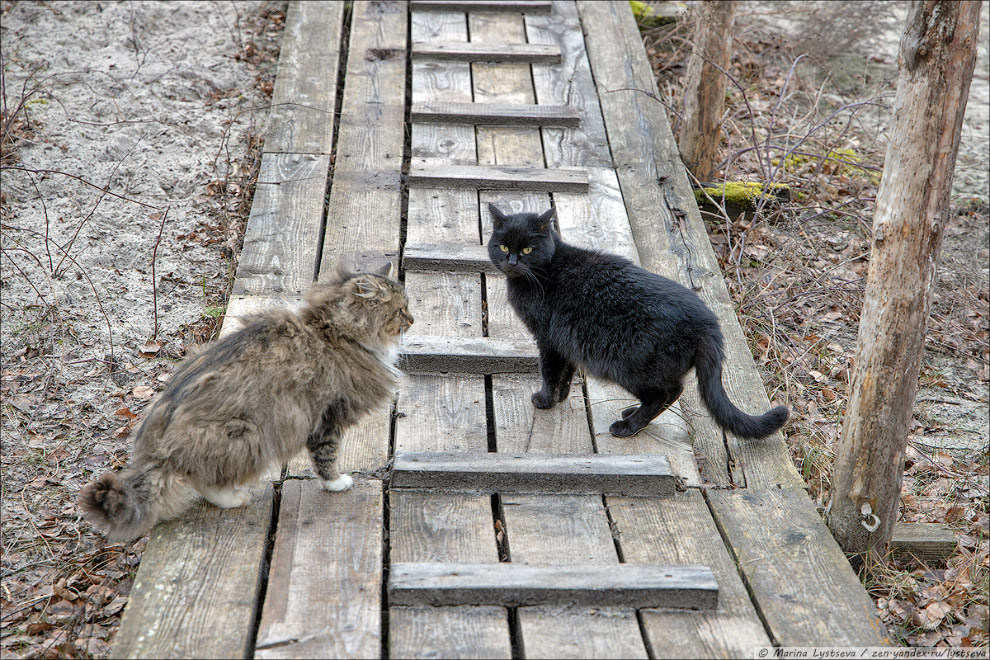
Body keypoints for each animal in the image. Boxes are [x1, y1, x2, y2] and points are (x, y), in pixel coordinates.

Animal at [488, 201, 792, 438]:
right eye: (502, 246)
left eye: (527, 250)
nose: (512, 261)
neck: (542, 272)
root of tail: (710, 323)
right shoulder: (566, 341)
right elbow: (567, 371)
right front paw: (561, 396)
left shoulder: (547, 338)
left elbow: (549, 372)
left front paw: (544, 400)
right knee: (669, 393)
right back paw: (632, 414)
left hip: (629, 365)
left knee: (666, 393)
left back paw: (628, 426)